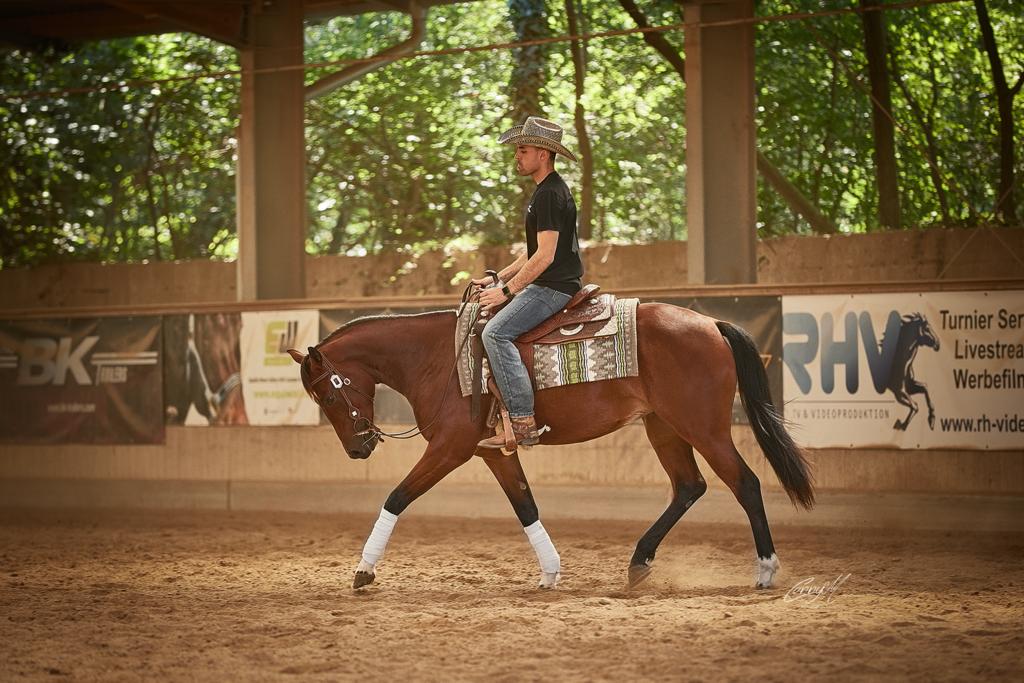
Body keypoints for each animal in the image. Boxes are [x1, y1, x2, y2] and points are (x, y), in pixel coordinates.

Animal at [289, 301, 814, 591]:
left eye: (328, 395)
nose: (358, 448)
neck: (441, 358)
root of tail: (709, 323)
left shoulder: (450, 449)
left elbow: (396, 497)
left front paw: (364, 570)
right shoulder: (492, 452)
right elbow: (525, 506)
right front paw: (551, 572)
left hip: (703, 427)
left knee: (745, 483)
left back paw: (765, 569)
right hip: (663, 427)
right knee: (689, 487)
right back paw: (639, 562)